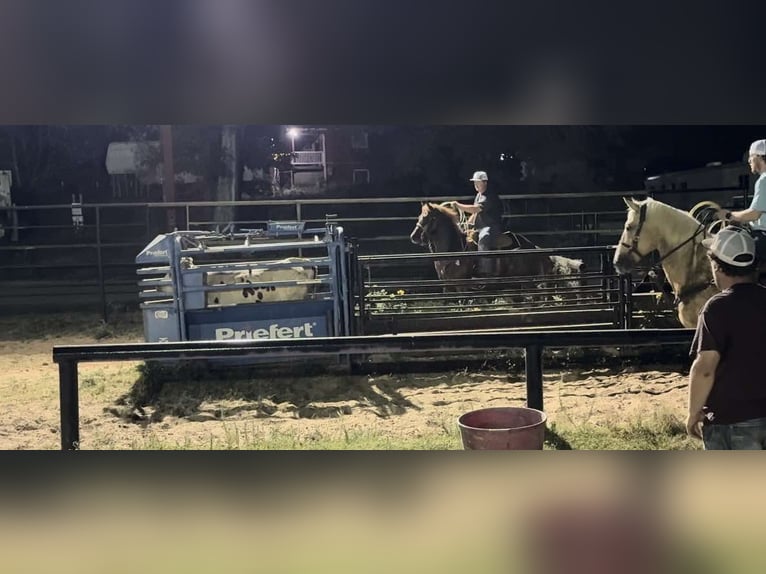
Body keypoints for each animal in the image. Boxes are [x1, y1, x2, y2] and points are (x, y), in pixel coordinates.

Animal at [412, 202, 584, 290]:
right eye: (419, 216)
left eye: (427, 217)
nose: (414, 236)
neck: (454, 250)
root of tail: (537, 249)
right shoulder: (447, 286)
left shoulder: (462, 285)